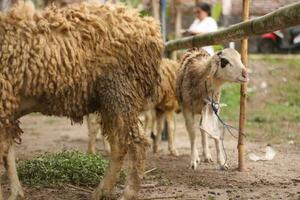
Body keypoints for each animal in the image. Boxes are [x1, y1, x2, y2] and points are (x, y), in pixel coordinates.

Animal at [0, 1, 163, 200]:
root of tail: (149, 27)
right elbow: (7, 154)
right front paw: (16, 193)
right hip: (110, 99)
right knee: (119, 143)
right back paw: (102, 191)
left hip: (120, 91)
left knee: (135, 142)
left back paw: (126, 193)